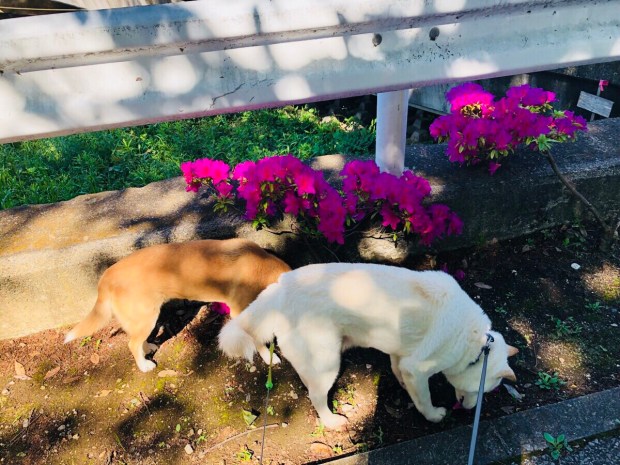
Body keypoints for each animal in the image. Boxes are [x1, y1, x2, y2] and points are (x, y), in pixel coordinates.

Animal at [65, 238, 291, 372]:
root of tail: (106, 276)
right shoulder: (241, 313)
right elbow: (258, 341)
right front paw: (269, 357)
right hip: (146, 317)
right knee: (132, 344)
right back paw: (144, 365)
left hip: (143, 319)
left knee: (137, 339)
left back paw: (148, 347)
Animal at [218, 262, 518, 429]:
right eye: (484, 389)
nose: (469, 409)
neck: (476, 343)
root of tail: (281, 288)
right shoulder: (418, 368)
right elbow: (424, 399)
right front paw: (434, 415)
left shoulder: (401, 355)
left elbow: (399, 372)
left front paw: (403, 386)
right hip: (327, 363)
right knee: (316, 396)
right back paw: (332, 423)